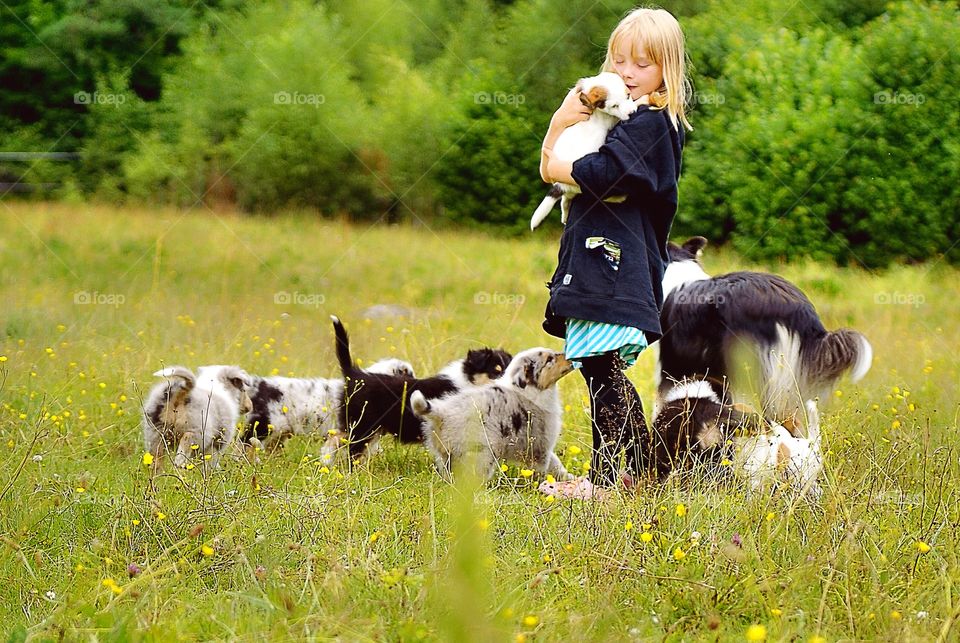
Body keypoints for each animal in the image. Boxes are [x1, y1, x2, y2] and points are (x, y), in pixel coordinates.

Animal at [326, 316, 512, 462]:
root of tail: (353, 373)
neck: (468, 382)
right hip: (362, 425)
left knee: (335, 440)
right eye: (496, 370)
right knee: (349, 449)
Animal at [408, 348, 572, 484]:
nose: (572, 358)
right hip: (481, 454)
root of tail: (442, 411)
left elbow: (556, 465)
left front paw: (568, 478)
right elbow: (548, 467)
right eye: (549, 359)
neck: (529, 390)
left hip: (447, 455)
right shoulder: (540, 447)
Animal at [528, 72, 640, 231]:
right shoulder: (611, 119)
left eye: (628, 95)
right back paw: (619, 197)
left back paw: (565, 214)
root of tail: (561, 185)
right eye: (614, 106)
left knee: (565, 199)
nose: (633, 113)